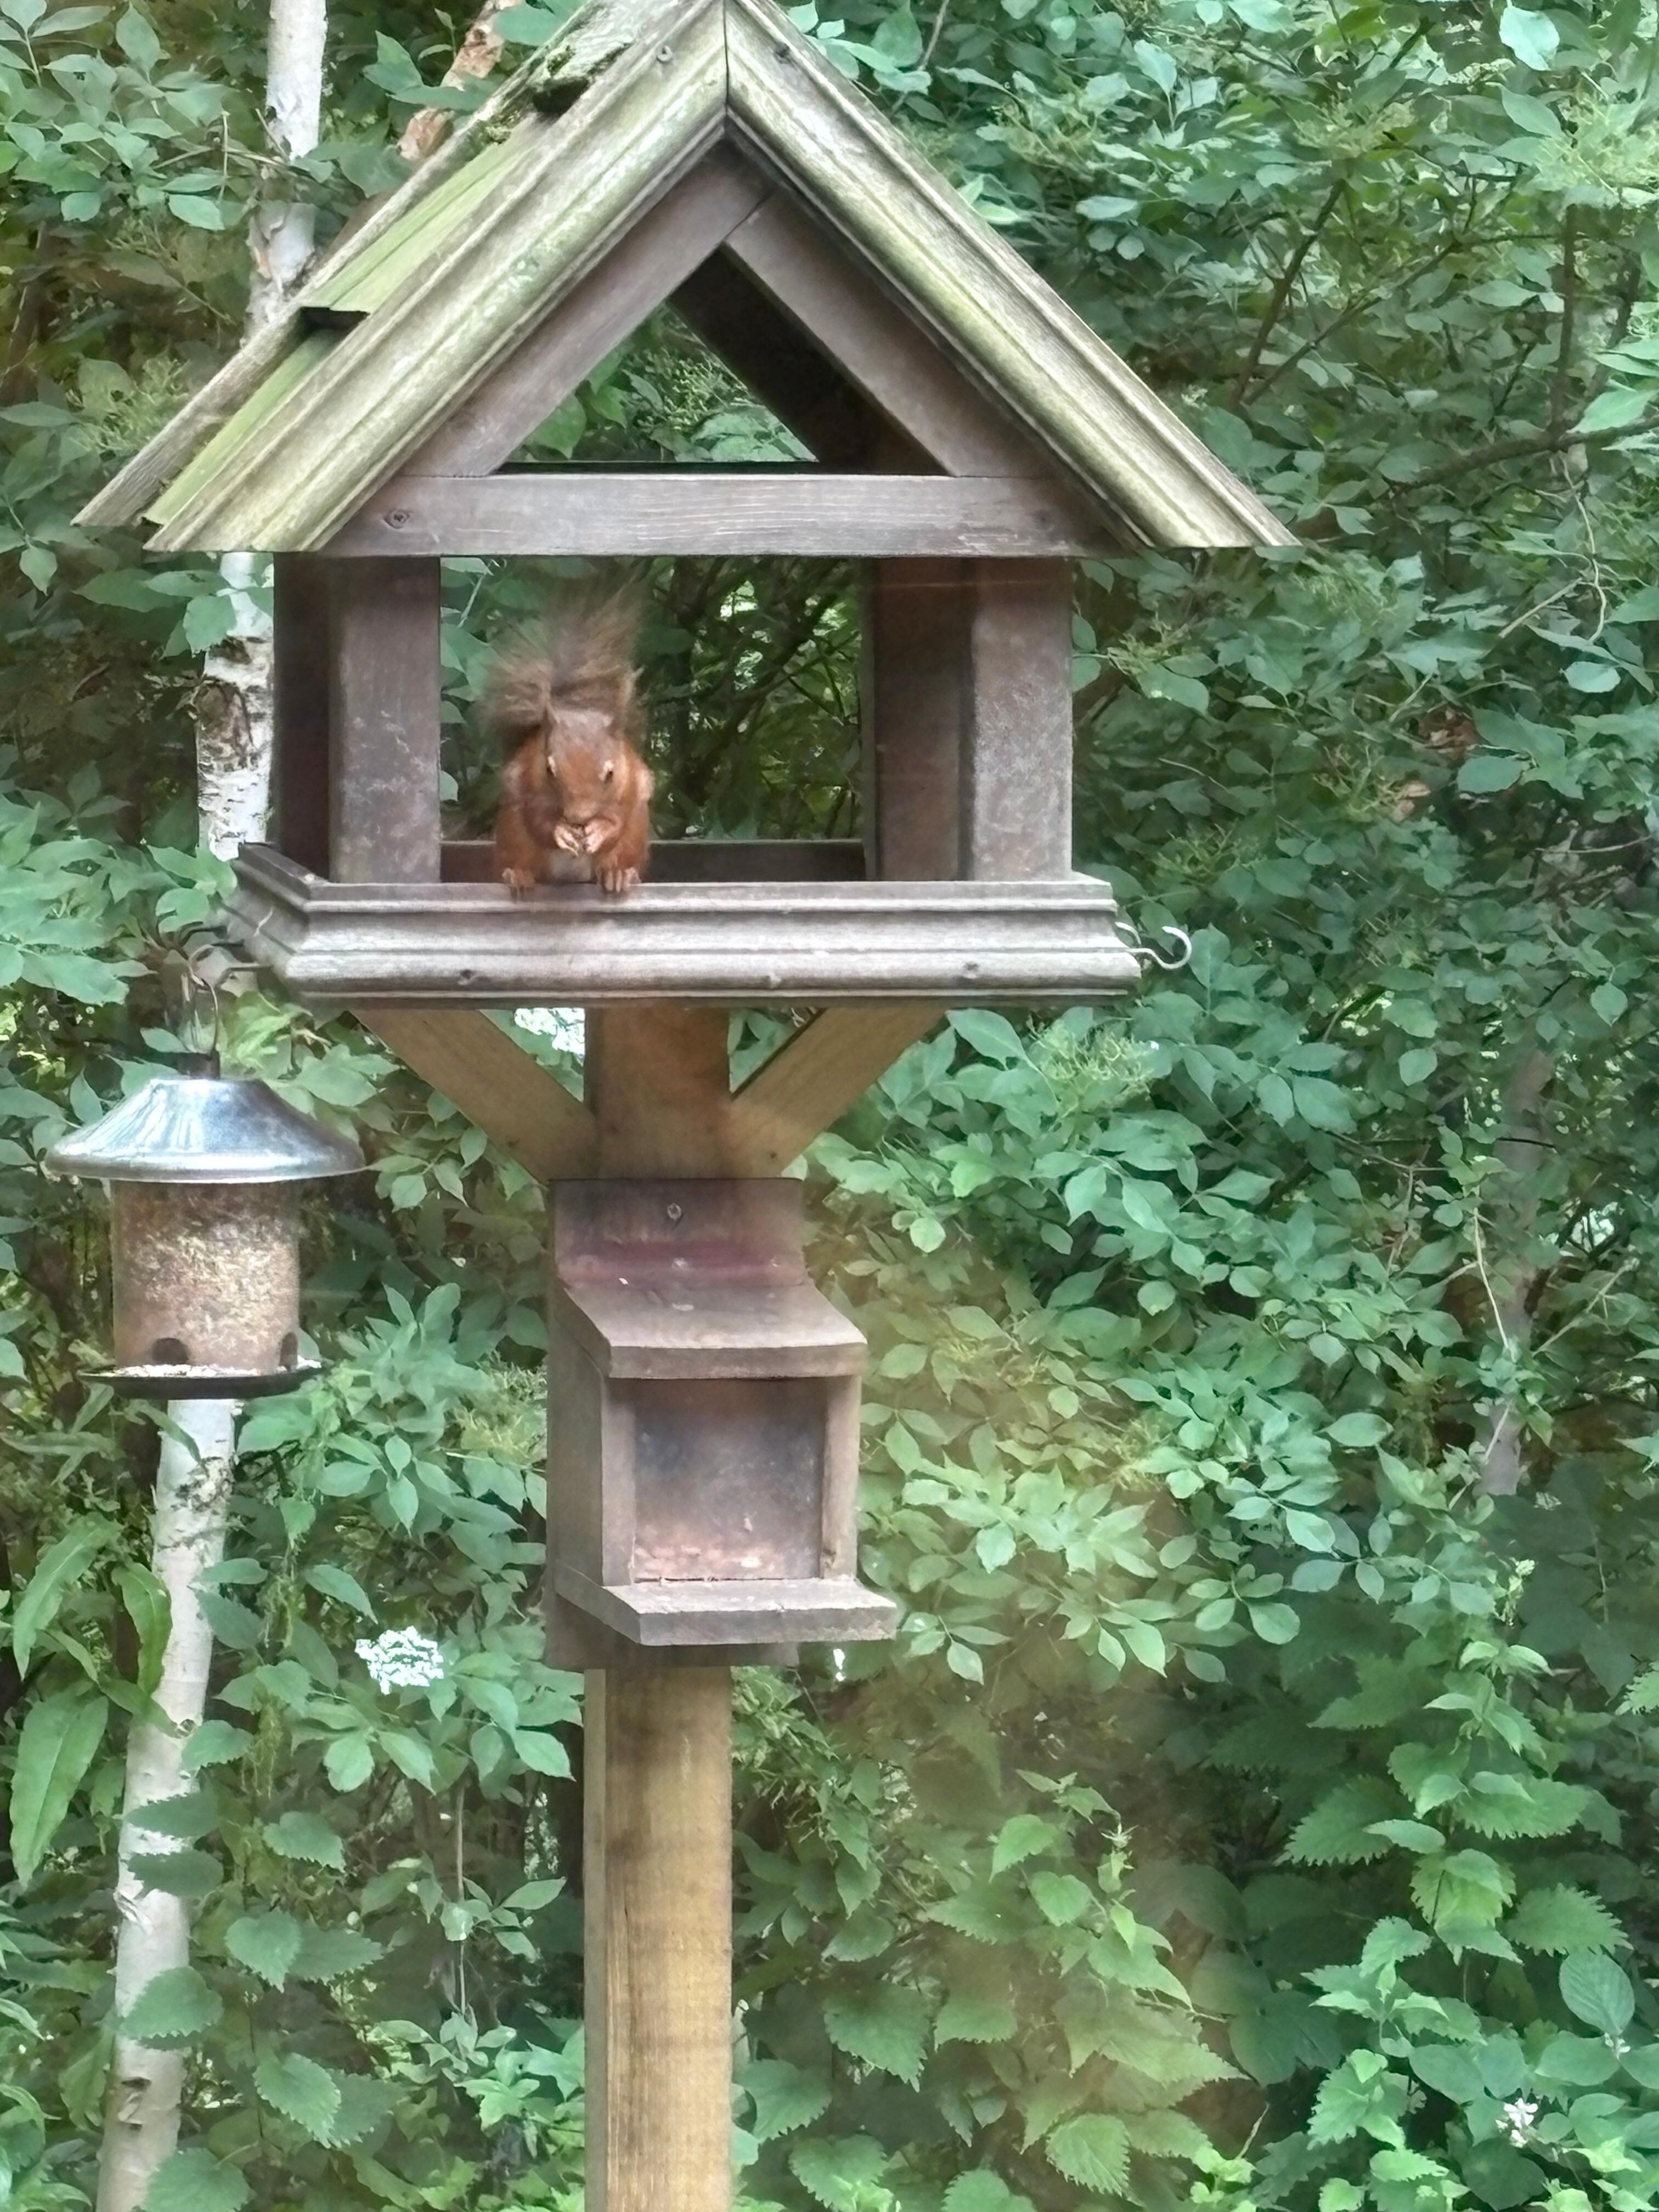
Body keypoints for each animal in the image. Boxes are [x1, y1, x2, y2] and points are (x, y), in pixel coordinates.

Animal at [489, 587, 654, 895]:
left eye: (611, 774)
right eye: (549, 770)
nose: (578, 818)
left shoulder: (630, 786)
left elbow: (618, 820)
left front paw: (600, 830)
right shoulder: (528, 780)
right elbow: (538, 820)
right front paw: (561, 832)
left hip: (635, 838)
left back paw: (620, 876)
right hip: (513, 835)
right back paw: (518, 876)